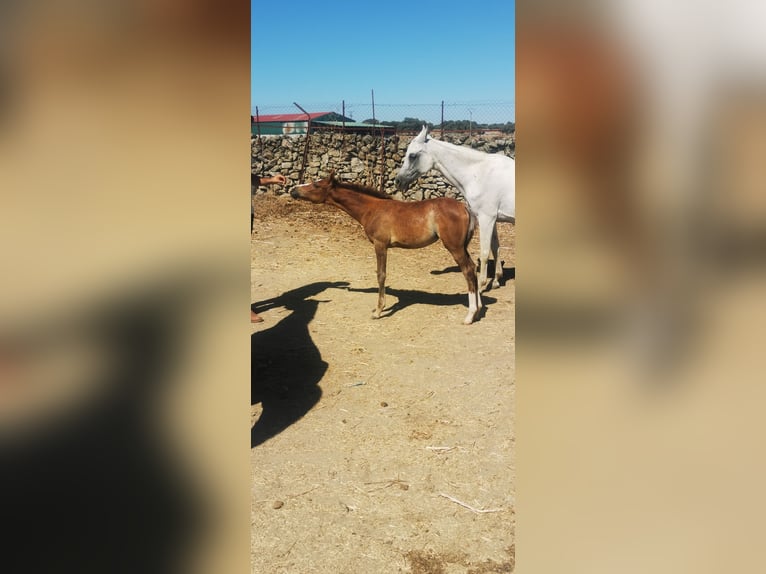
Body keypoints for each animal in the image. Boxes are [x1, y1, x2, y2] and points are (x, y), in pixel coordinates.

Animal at [396, 125, 516, 288]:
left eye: (412, 156)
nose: (398, 181)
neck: (478, 174)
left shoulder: (486, 218)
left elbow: (485, 253)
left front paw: (481, 285)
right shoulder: (493, 219)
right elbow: (495, 247)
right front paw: (497, 280)